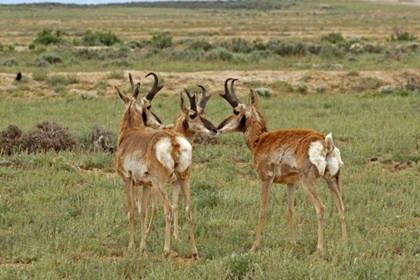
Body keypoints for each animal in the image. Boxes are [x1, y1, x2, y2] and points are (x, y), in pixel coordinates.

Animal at [113, 78, 199, 258]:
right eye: (148, 106)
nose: (158, 122)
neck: (129, 134)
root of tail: (173, 141)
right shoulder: (146, 185)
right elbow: (143, 212)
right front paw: (142, 247)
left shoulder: (127, 180)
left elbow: (132, 211)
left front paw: (132, 246)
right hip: (183, 179)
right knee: (188, 210)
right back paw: (194, 252)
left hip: (160, 185)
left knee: (168, 209)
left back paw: (166, 250)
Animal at [218, 78, 346, 252]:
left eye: (236, 111)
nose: (218, 128)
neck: (260, 140)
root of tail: (325, 143)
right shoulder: (291, 183)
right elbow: (290, 211)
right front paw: (293, 243)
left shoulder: (266, 180)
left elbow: (262, 210)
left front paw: (254, 246)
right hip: (332, 179)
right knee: (341, 208)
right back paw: (346, 243)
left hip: (308, 182)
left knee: (321, 208)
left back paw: (319, 248)